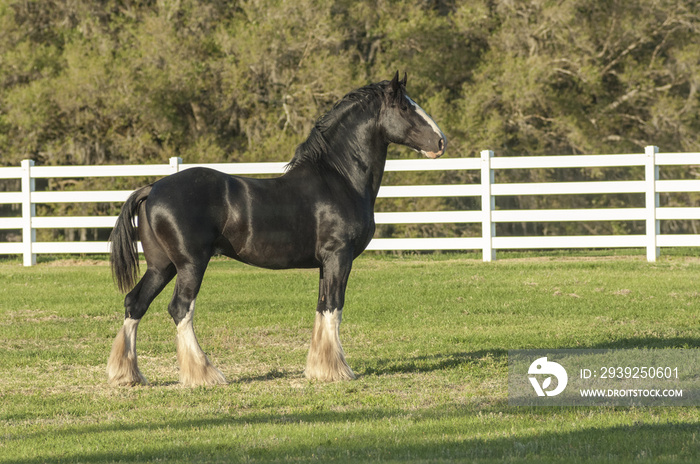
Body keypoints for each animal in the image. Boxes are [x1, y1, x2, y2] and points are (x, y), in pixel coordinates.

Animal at [106, 71, 446, 384]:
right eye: (405, 107)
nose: (441, 142)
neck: (339, 179)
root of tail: (153, 187)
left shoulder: (325, 263)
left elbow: (322, 307)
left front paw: (318, 369)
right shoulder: (339, 256)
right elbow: (334, 307)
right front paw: (337, 371)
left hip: (161, 267)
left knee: (135, 303)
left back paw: (128, 375)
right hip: (190, 265)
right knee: (180, 309)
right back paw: (205, 375)